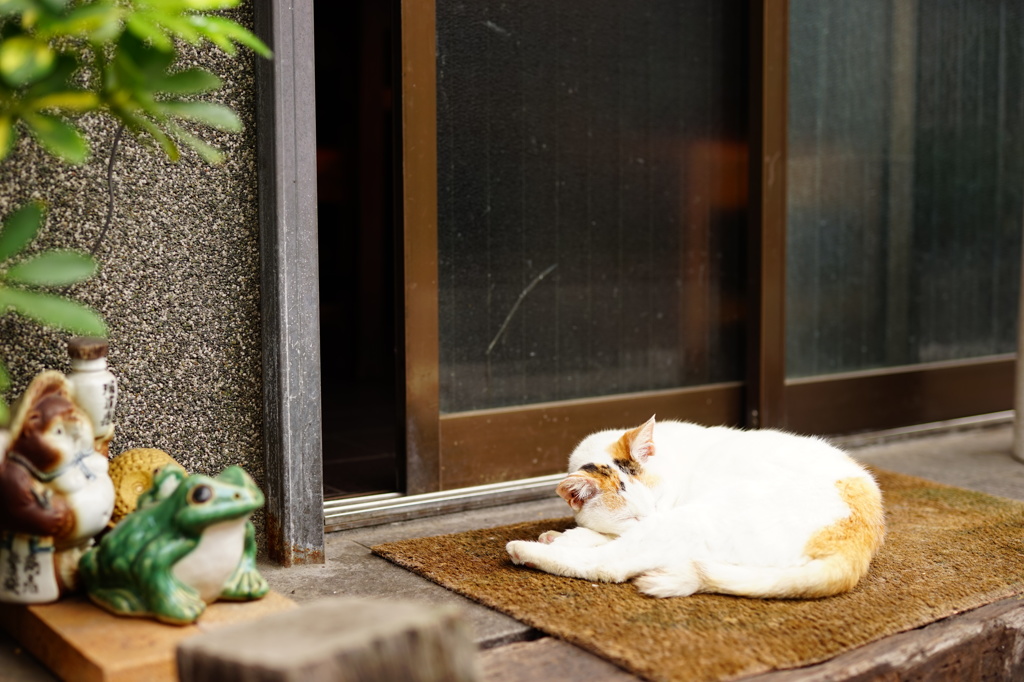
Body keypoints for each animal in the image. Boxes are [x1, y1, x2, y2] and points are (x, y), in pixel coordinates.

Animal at [507, 413, 884, 593]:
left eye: (658, 500)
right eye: (631, 517)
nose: (651, 519)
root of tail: (861, 542)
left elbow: (602, 542)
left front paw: (565, 537)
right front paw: (566, 533)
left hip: (693, 519)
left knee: (609, 566)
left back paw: (524, 550)